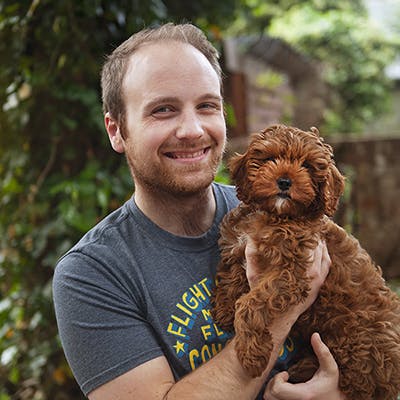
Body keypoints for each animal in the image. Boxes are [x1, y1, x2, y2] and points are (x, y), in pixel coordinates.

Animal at [211, 124, 398, 400]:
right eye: (270, 158)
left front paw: (252, 354)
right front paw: (224, 307)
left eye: (307, 166)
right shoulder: (241, 243)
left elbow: (250, 303)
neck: (276, 214)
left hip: (356, 345)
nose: (284, 181)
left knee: (358, 384)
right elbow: (232, 269)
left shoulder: (292, 272)